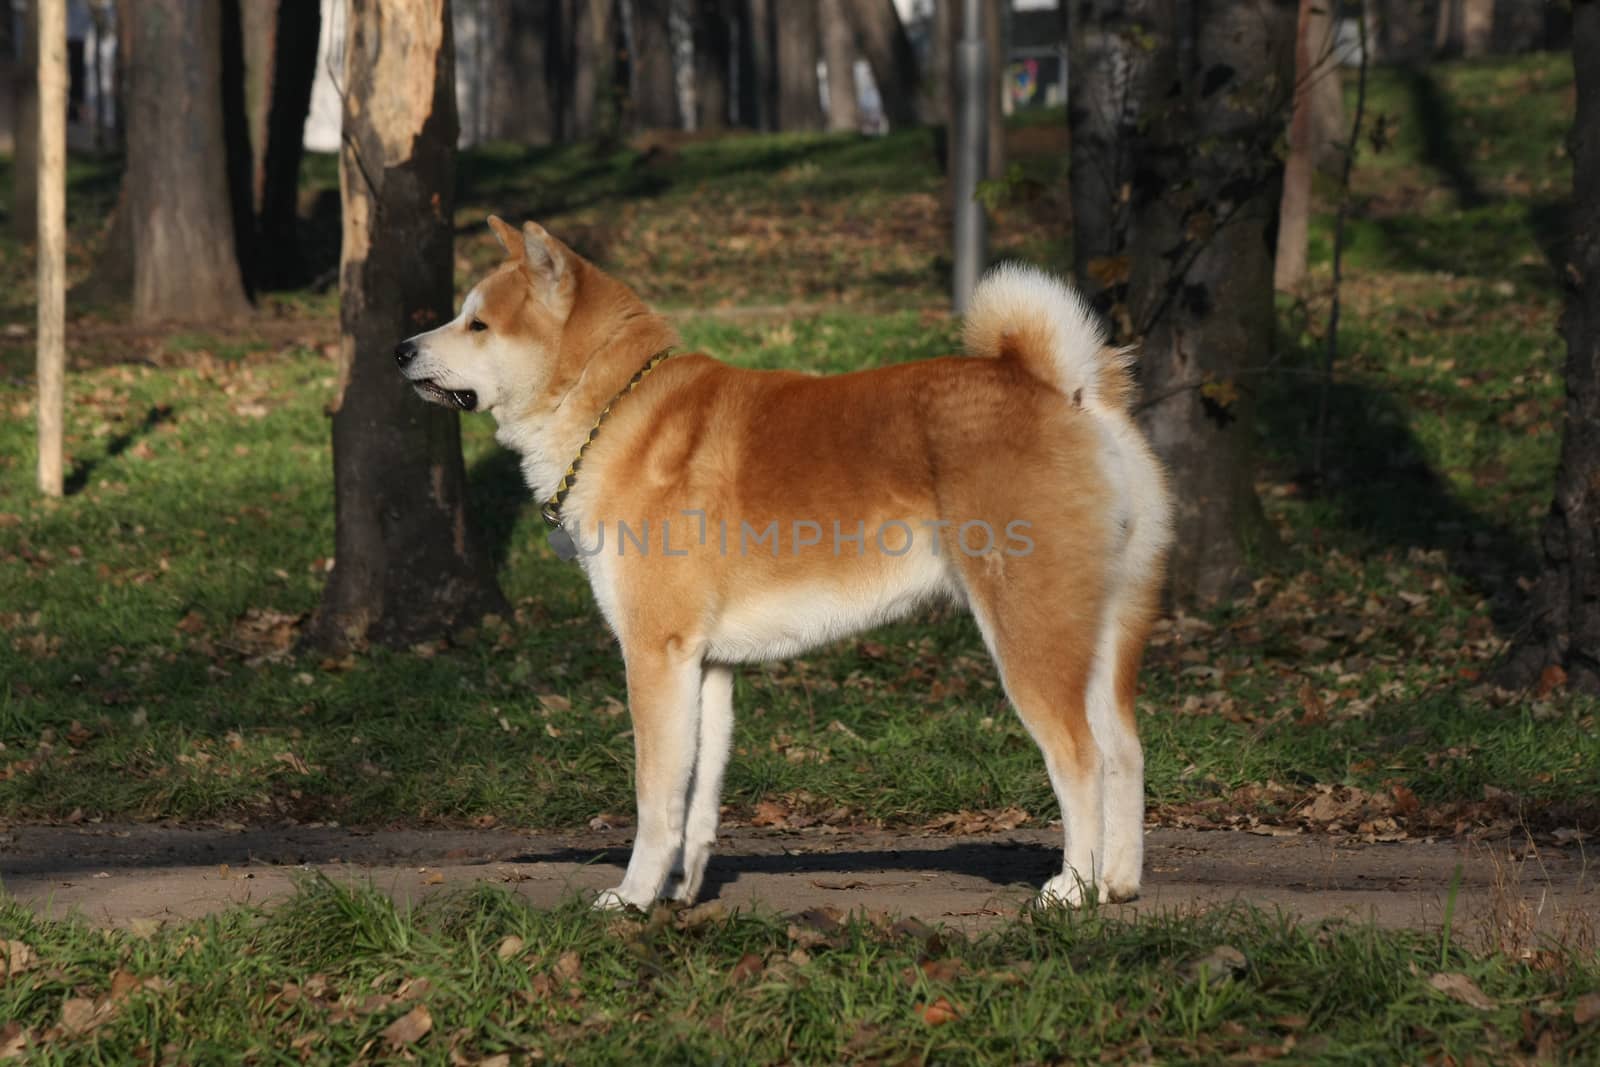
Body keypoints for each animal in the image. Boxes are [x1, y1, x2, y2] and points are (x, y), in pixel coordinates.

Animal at [396, 214, 1177, 908]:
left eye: (477, 325)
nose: (401, 348)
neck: (617, 412)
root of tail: (1065, 389)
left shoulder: (653, 653)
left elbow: (654, 798)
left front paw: (633, 898)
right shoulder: (705, 666)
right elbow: (697, 802)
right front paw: (681, 893)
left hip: (1029, 633)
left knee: (1081, 760)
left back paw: (1072, 889)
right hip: (1102, 635)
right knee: (1126, 752)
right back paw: (1118, 882)